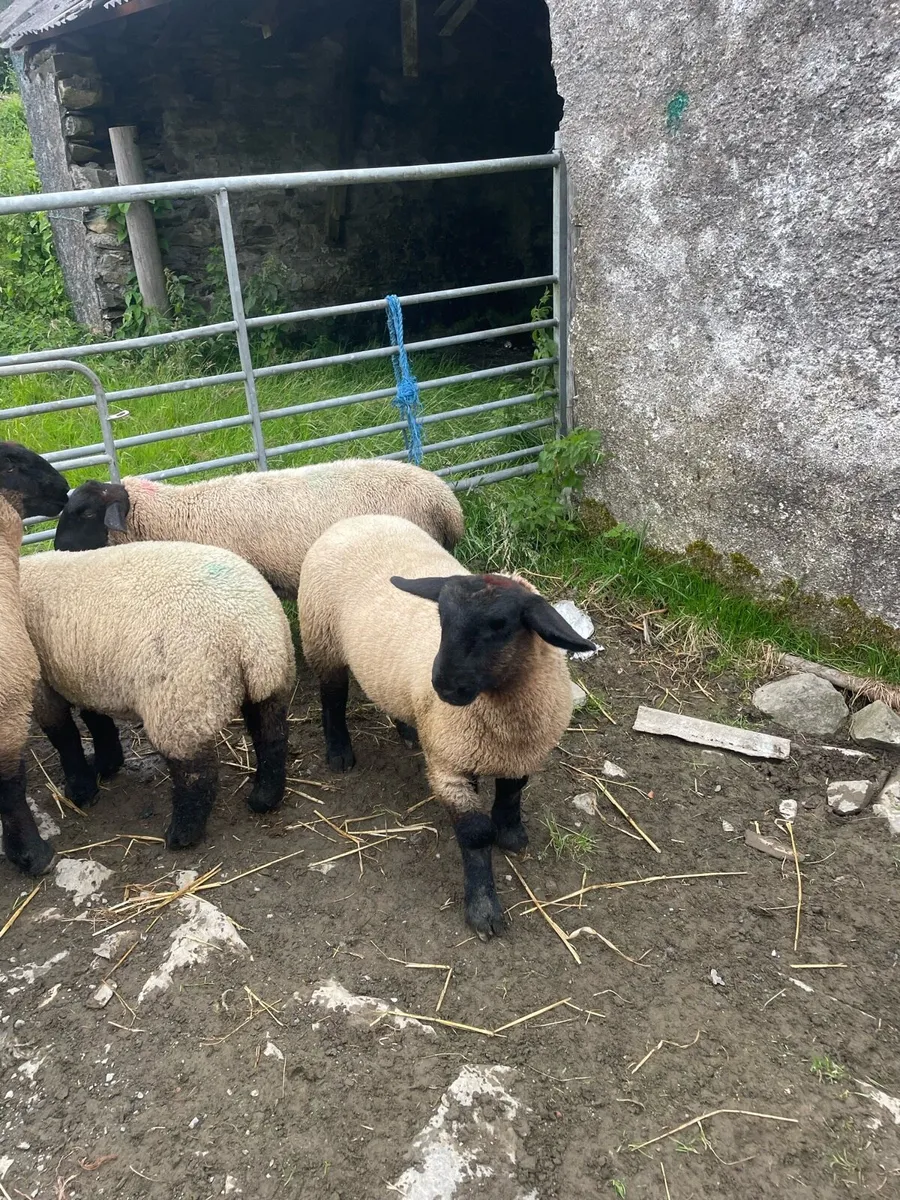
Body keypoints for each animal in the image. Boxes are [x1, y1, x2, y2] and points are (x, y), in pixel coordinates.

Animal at [18, 541, 297, 852]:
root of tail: (252, 633)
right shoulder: (85, 673)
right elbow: (96, 720)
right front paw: (106, 765)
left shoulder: (41, 683)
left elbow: (64, 737)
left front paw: (80, 790)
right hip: (272, 682)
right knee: (271, 738)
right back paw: (264, 798)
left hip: (181, 701)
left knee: (197, 775)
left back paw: (182, 834)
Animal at [297, 514, 596, 939]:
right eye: (441, 618)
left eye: (500, 625)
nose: (443, 684)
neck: (503, 715)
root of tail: (355, 519)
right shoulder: (449, 766)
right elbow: (475, 834)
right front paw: (484, 910)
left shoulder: (522, 754)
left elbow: (512, 794)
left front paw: (512, 835)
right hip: (321, 638)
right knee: (333, 696)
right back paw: (339, 751)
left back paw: (407, 732)